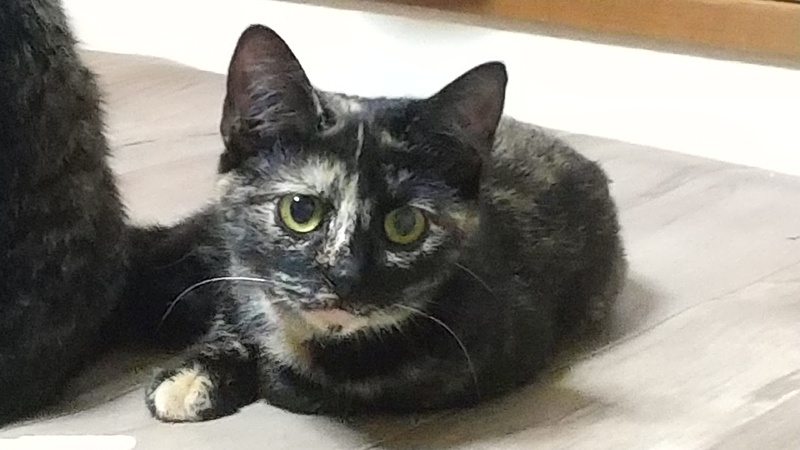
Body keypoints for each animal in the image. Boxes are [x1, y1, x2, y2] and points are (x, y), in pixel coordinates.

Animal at [145, 24, 626, 422]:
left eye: (405, 225)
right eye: (300, 211)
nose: (343, 275)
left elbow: (326, 389)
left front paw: (264, 375)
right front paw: (197, 371)